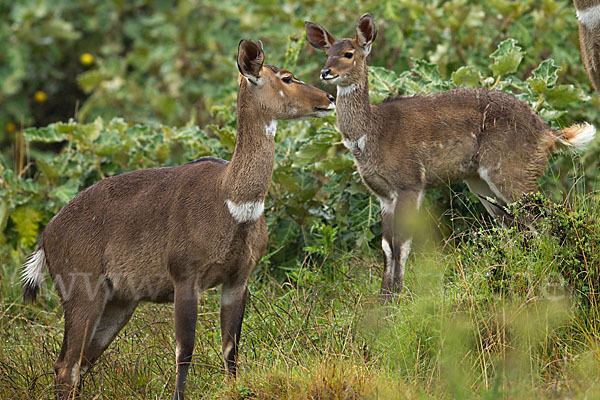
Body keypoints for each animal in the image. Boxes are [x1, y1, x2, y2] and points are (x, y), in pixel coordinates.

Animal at [21, 38, 336, 400]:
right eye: (287, 77)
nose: (328, 98)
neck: (232, 201)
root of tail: (47, 236)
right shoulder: (185, 277)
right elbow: (184, 350)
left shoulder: (238, 278)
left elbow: (231, 349)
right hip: (82, 292)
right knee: (66, 365)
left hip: (119, 302)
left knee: (79, 364)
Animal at [304, 12, 596, 300]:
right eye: (327, 53)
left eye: (348, 53)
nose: (326, 72)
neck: (371, 135)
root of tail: (547, 132)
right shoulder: (383, 194)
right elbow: (386, 246)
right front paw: (384, 299)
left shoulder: (410, 182)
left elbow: (402, 243)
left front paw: (399, 299)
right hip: (480, 182)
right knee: (515, 226)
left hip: (513, 170)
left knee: (544, 220)